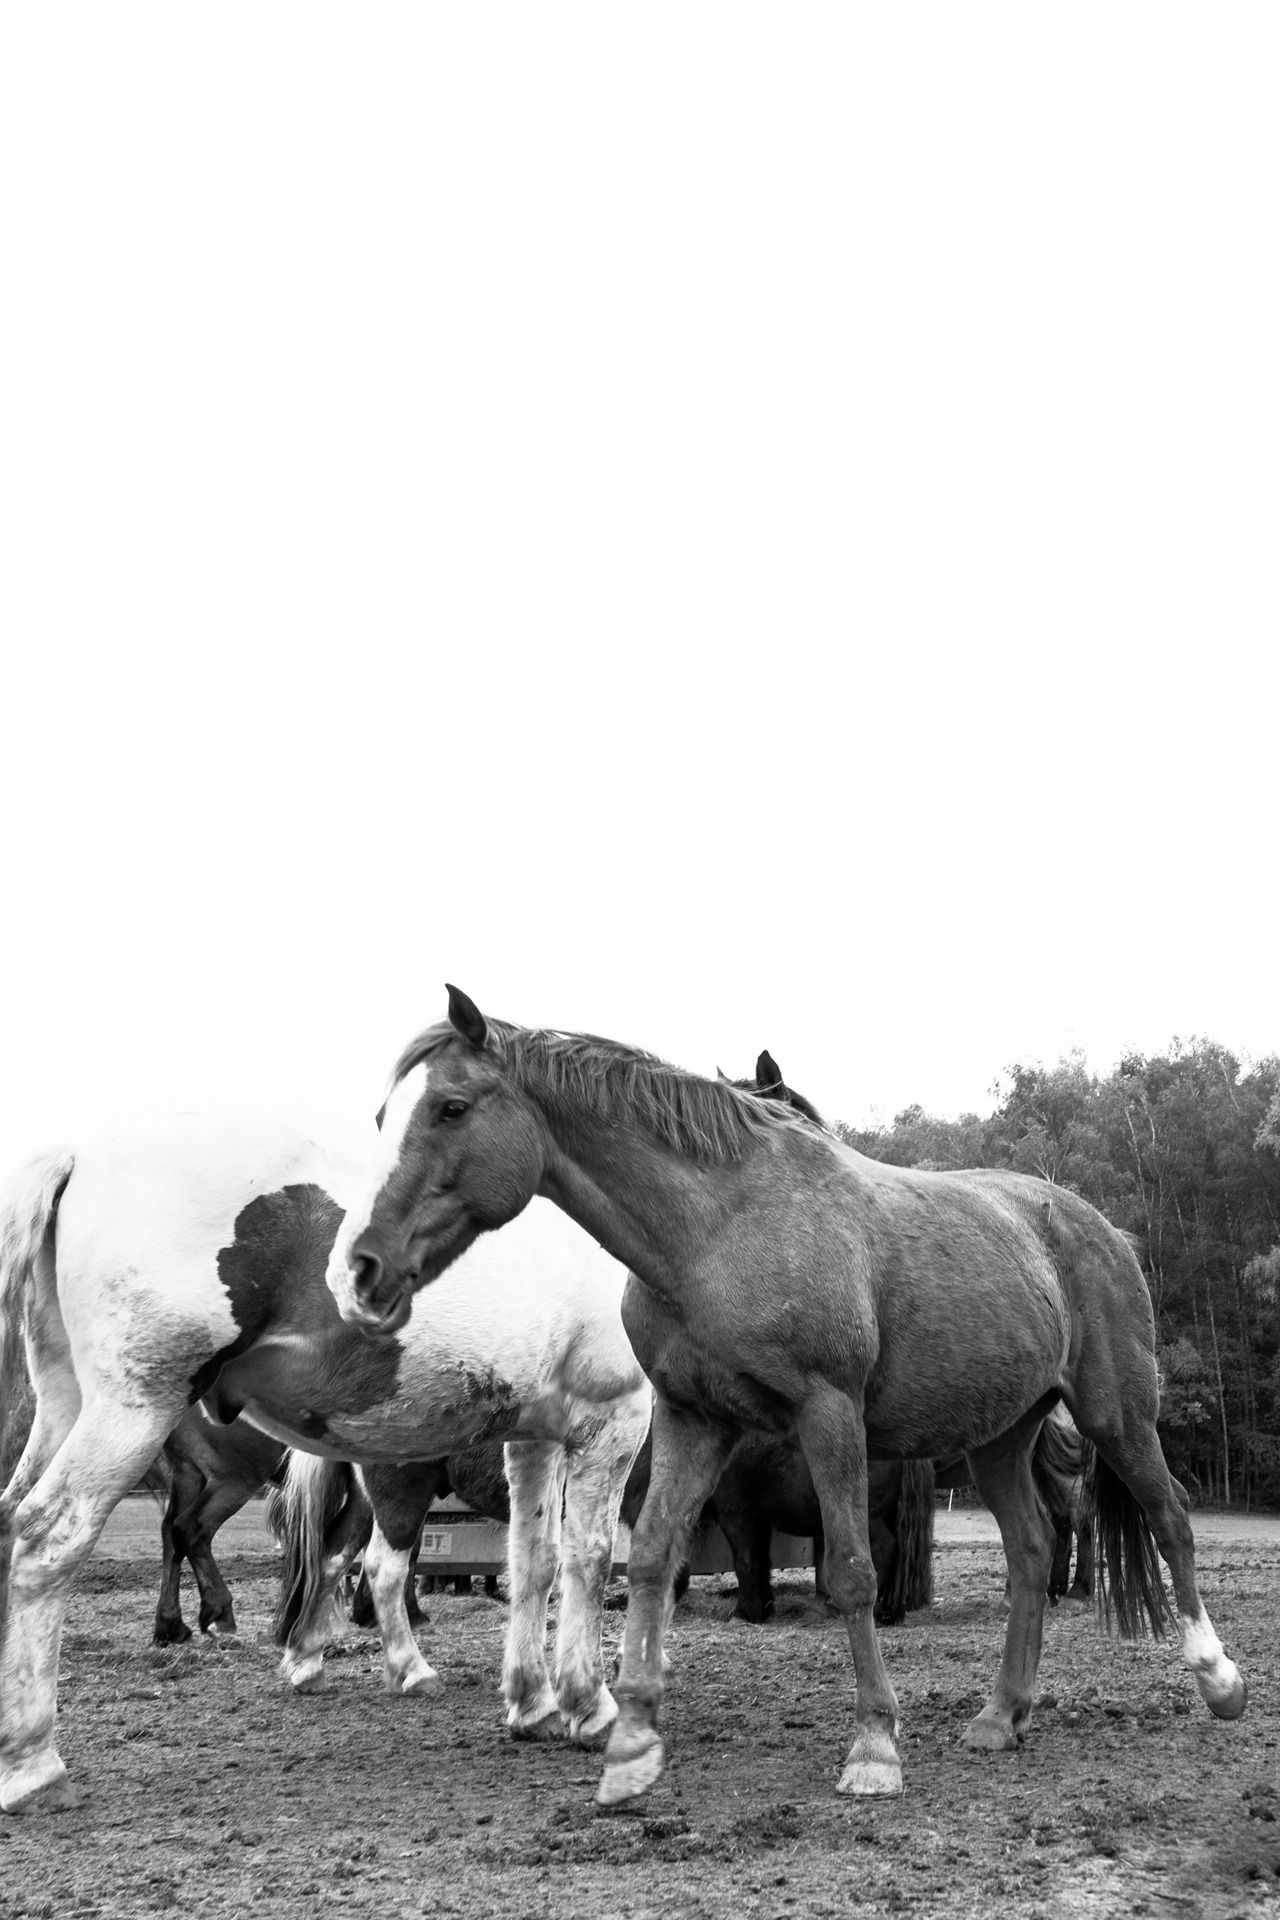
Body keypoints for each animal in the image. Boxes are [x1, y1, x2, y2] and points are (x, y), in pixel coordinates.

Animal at [0, 1116, 650, 1814]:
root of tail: (79, 1154)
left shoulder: (535, 1439)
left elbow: (533, 1563)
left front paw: (533, 1704)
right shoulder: (612, 1422)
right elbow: (591, 1560)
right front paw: (590, 1705)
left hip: (66, 1405)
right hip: (135, 1413)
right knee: (52, 1538)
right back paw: (35, 1763)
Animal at [327, 986, 1245, 1806]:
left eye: (449, 1107)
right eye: (378, 1118)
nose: (361, 1269)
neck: (719, 1232)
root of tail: (1100, 1228)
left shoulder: (828, 1415)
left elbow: (852, 1573)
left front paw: (875, 1747)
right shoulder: (694, 1420)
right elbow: (652, 1556)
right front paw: (631, 1745)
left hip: (1117, 1415)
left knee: (1169, 1519)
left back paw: (1217, 1678)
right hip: (1001, 1438)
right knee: (1029, 1549)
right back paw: (1002, 1714)